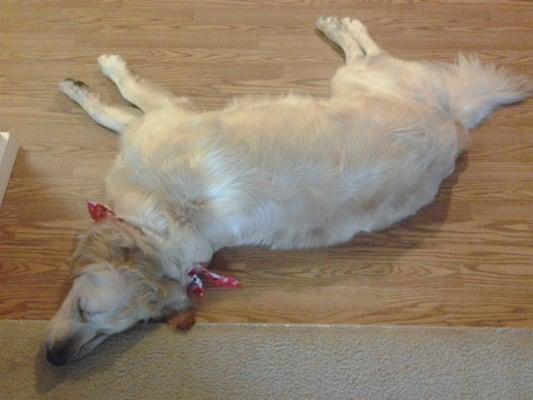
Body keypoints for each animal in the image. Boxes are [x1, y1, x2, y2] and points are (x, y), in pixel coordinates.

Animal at [43, 17, 528, 364]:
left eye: (93, 319)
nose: (55, 360)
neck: (169, 216)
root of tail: (456, 124)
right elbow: (118, 113)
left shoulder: (164, 114)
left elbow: (118, 104)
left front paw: (99, 75)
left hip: (360, 79)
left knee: (368, 51)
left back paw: (339, 26)